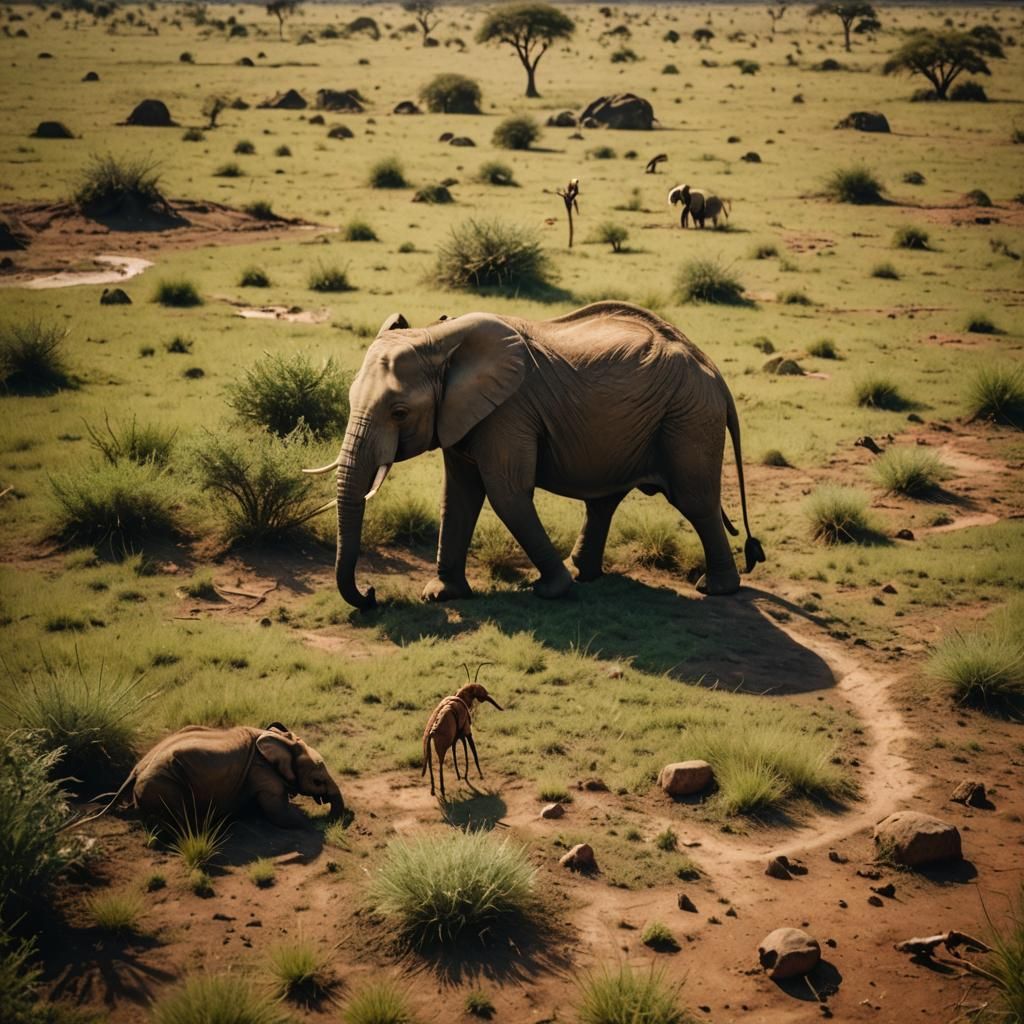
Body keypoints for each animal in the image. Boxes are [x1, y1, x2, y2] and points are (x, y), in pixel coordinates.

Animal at [75, 723, 345, 829]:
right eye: (317, 781)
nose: (329, 814)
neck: (281, 741)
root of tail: (135, 770)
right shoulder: (261, 772)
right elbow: (279, 813)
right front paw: (312, 825)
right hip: (162, 783)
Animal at [307, 301, 765, 610]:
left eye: (399, 412)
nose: (372, 594)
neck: (439, 341)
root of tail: (713, 371)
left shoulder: (508, 413)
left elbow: (506, 494)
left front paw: (550, 591)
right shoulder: (462, 415)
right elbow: (458, 495)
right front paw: (441, 596)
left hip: (687, 418)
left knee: (695, 500)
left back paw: (714, 589)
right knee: (604, 501)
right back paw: (583, 573)